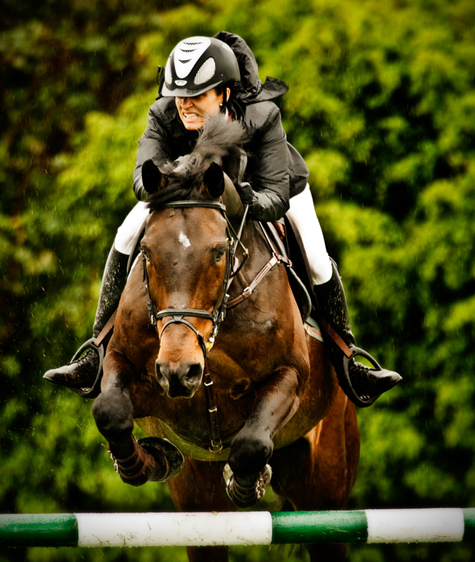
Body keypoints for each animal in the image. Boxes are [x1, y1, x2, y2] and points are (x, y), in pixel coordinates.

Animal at [92, 115, 360, 560]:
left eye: (219, 252)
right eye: (146, 251)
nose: (180, 372)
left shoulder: (290, 376)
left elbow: (250, 442)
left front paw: (247, 480)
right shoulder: (124, 362)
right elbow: (110, 411)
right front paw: (149, 461)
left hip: (326, 490)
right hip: (200, 502)